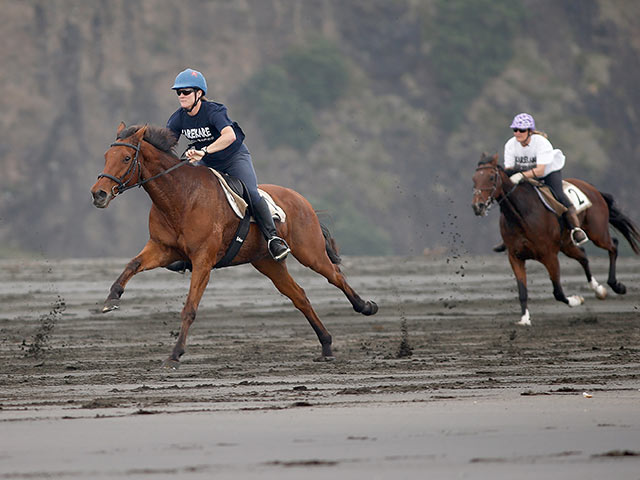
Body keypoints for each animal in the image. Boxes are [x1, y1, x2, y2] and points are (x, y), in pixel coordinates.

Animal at [91, 122, 380, 366]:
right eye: (106, 157)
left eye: (126, 158)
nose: (98, 194)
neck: (180, 197)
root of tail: (301, 199)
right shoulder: (162, 249)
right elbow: (132, 265)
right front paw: (110, 299)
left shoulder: (203, 260)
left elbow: (189, 308)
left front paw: (175, 354)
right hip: (267, 263)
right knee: (300, 297)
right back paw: (326, 345)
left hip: (310, 253)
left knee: (335, 276)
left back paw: (366, 307)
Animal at [470, 154, 640, 326]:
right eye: (474, 179)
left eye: (491, 177)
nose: (478, 206)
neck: (522, 215)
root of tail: (592, 188)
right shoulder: (515, 257)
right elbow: (522, 291)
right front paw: (525, 319)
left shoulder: (549, 255)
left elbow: (558, 292)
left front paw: (576, 300)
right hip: (567, 244)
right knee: (583, 256)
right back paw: (598, 289)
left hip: (597, 233)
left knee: (613, 245)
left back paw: (617, 286)